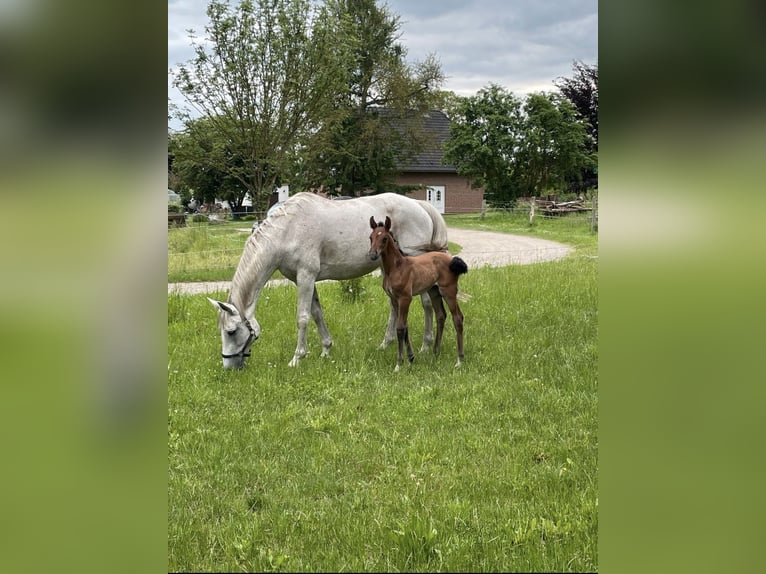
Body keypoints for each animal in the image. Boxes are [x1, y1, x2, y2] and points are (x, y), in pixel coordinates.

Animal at [208, 194, 450, 368]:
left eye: (231, 331)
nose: (229, 366)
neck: (288, 229)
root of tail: (420, 205)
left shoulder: (306, 276)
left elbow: (303, 317)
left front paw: (297, 358)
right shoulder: (304, 279)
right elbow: (316, 313)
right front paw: (326, 349)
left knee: (426, 304)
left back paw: (426, 345)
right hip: (387, 267)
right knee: (394, 306)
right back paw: (386, 343)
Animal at [370, 216, 472, 374]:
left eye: (384, 238)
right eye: (371, 237)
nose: (373, 254)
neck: (396, 267)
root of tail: (451, 259)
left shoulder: (405, 298)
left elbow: (400, 328)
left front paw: (399, 364)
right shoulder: (394, 299)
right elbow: (405, 327)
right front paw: (411, 358)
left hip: (448, 291)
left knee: (458, 318)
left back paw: (459, 360)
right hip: (434, 291)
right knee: (441, 315)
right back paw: (436, 351)